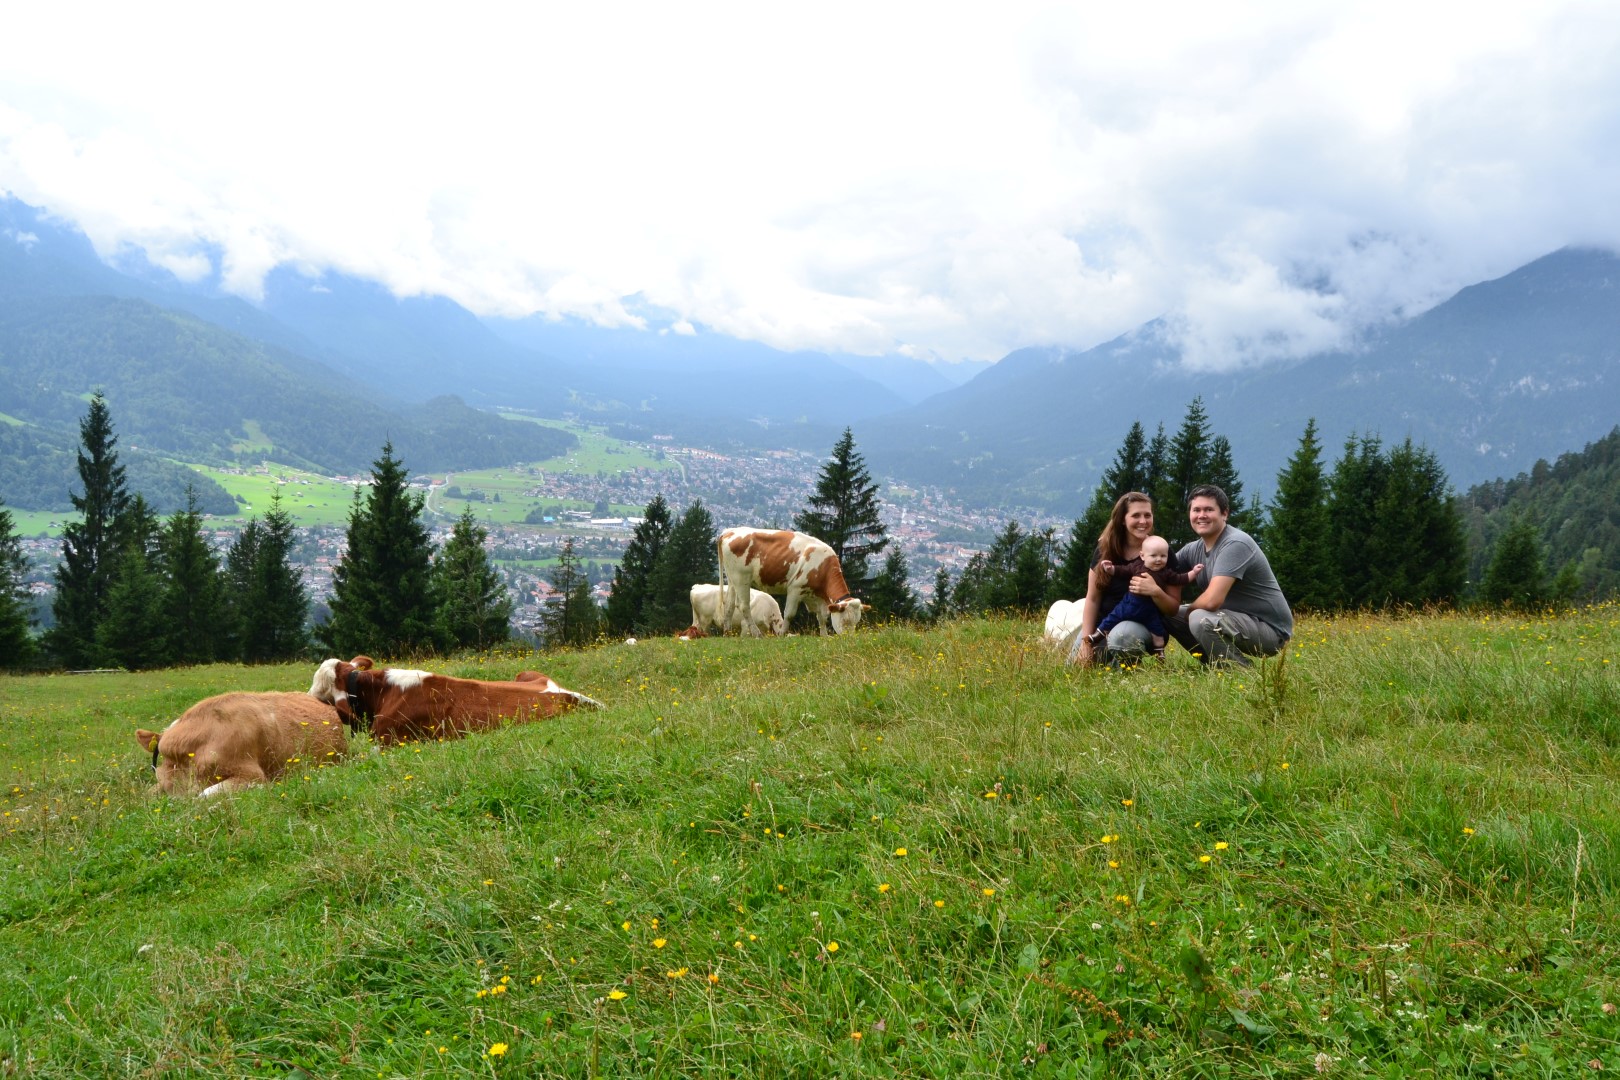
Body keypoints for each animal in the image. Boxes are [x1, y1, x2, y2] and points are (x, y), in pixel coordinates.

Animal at [712, 527, 861, 637]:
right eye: (845, 620)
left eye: (856, 622)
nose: (849, 638)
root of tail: (730, 531)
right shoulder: (795, 589)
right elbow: (789, 614)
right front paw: (782, 634)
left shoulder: (816, 595)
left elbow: (822, 617)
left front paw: (824, 635)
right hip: (741, 578)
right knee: (743, 606)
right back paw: (756, 633)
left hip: (732, 579)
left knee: (729, 605)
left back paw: (727, 633)